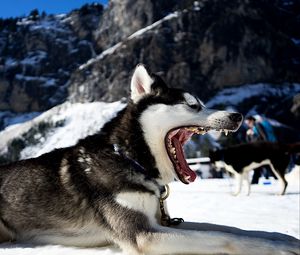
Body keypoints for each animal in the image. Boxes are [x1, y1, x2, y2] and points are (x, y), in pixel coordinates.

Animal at [0, 64, 298, 254]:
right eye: (193, 105)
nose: (237, 116)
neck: (131, 159)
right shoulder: (142, 233)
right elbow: (222, 237)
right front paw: (276, 248)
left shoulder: (161, 220)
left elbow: (229, 229)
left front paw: (279, 236)